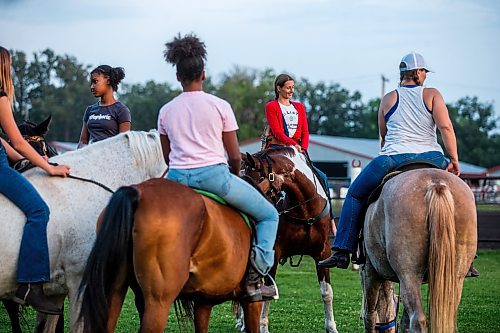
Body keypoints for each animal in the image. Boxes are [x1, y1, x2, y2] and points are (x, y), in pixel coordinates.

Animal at [240, 147, 338, 332]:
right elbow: (268, 291)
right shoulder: (274, 254)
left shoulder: (323, 253)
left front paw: (331, 327)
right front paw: (263, 327)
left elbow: (326, 292)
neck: (305, 210)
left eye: (254, 181)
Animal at [360, 169, 476, 332]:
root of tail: (436, 184)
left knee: (417, 320)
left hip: (409, 276)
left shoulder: (370, 272)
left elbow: (369, 315)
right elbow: (403, 321)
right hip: (456, 277)